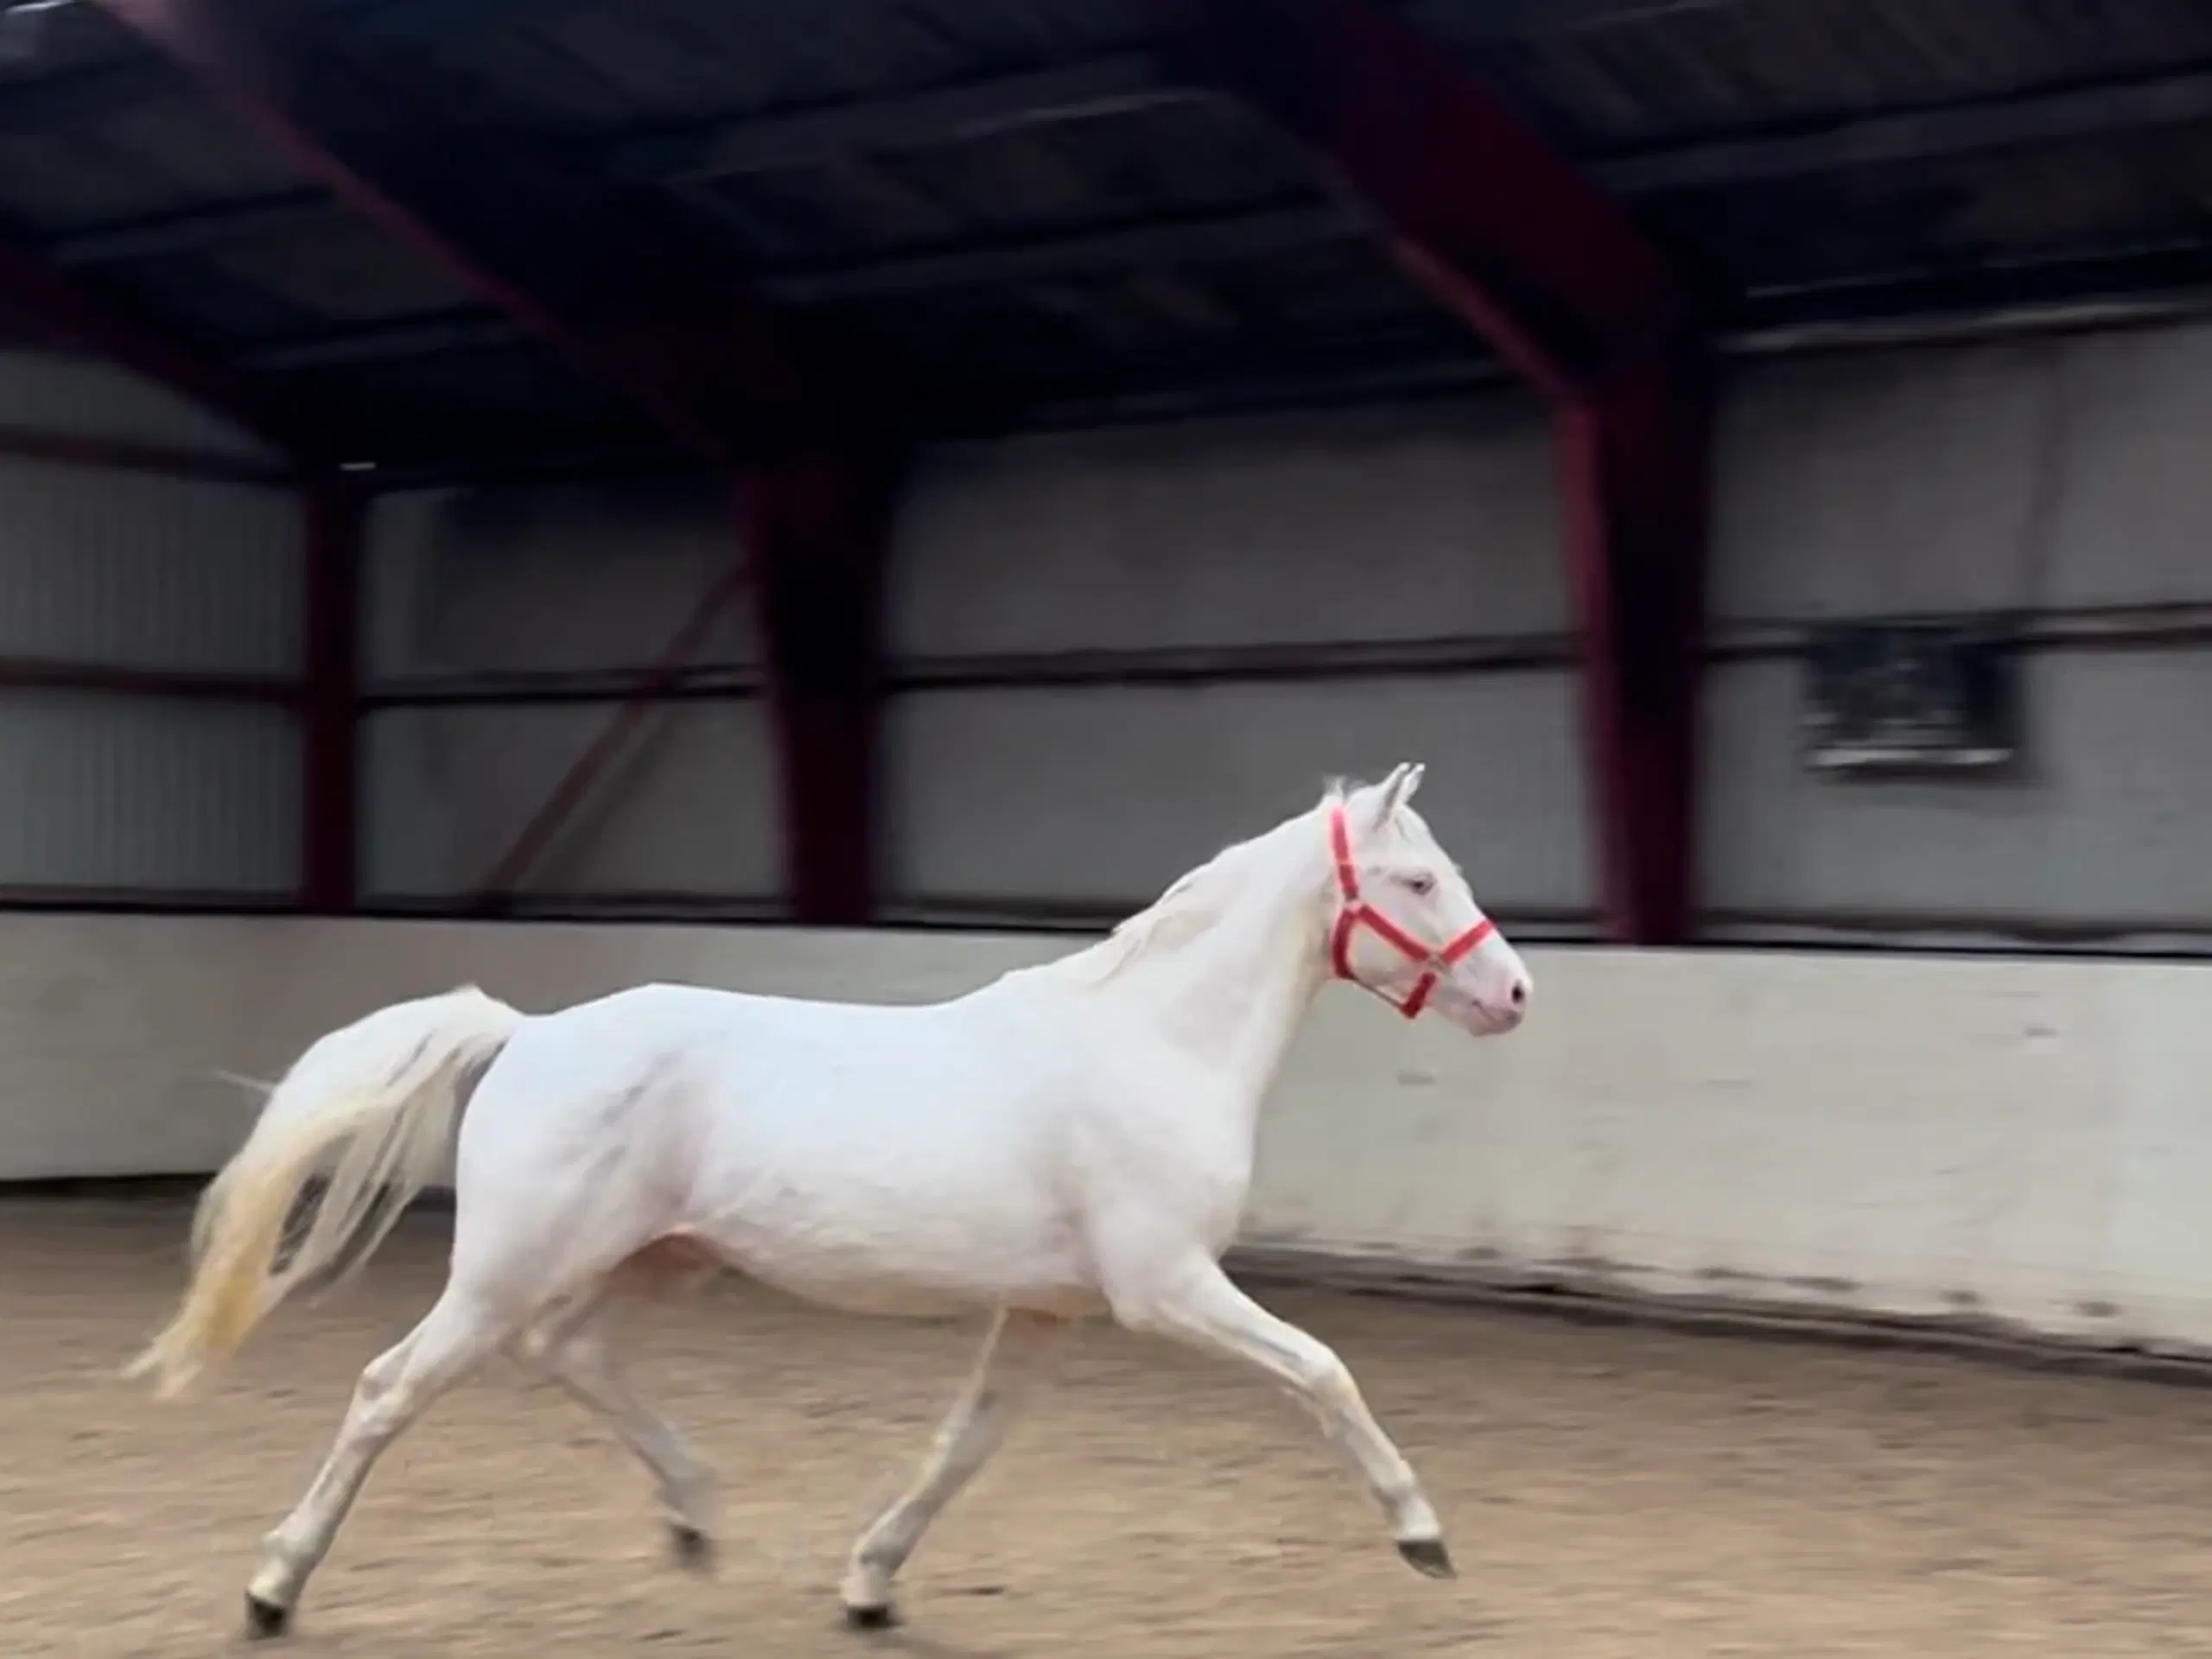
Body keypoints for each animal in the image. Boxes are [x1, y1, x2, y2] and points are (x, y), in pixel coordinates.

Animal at [129, 765, 1530, 1637]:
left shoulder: (1053, 1310)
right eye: (1419, 883)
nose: (1513, 994)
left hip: (655, 1257)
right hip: (512, 1268)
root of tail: (527, 1032)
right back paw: (272, 1588)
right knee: (389, 1390)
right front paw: (1424, 1536)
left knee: (570, 1356)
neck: (1151, 1046)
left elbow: (965, 1444)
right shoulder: (1167, 1287)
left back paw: (696, 1520)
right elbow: (1323, 1371)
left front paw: (869, 1585)